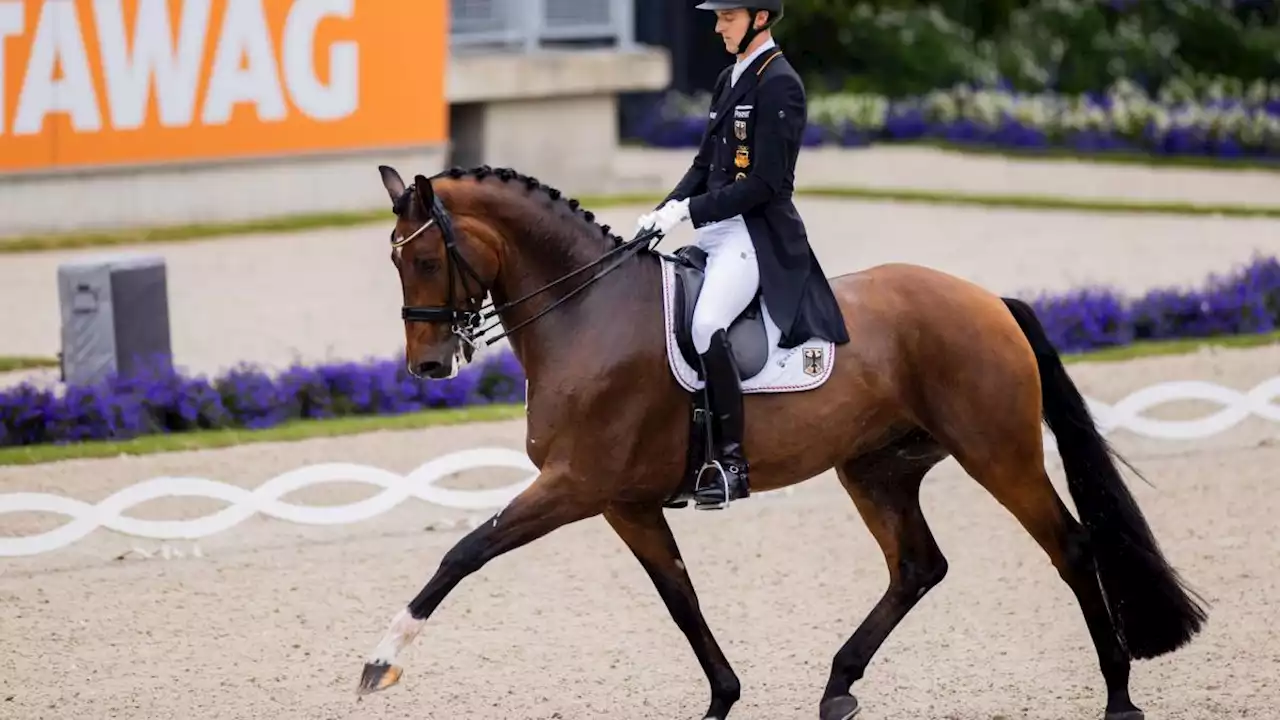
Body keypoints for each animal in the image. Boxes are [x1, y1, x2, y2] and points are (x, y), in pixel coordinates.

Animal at [355, 162, 1203, 717]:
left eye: (424, 258)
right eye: (394, 261)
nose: (427, 366)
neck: (585, 312)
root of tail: (988, 299)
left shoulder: (574, 484)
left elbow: (464, 553)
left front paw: (380, 662)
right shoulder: (625, 502)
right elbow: (681, 599)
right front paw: (722, 701)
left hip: (998, 454)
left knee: (1072, 548)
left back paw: (1119, 697)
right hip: (876, 469)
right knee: (917, 567)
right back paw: (838, 686)